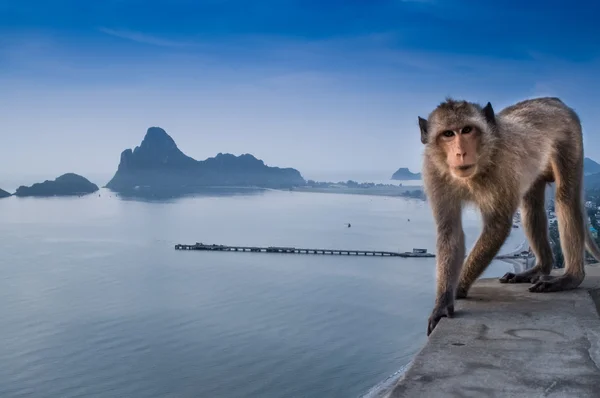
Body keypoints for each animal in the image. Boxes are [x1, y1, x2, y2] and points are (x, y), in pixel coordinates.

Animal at [420, 96, 600, 336]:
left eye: (467, 130)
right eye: (448, 134)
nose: (460, 152)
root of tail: (554, 100)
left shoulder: (503, 169)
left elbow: (498, 224)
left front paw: (458, 289)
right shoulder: (434, 172)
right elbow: (450, 231)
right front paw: (442, 302)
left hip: (569, 136)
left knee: (566, 199)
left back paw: (571, 277)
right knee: (531, 204)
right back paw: (540, 267)